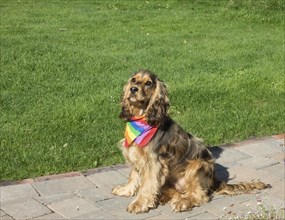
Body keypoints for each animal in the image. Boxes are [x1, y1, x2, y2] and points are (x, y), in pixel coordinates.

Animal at [110, 70, 268, 213]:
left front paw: (138, 204)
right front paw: (125, 190)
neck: (142, 119)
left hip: (199, 164)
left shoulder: (153, 162)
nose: (133, 89)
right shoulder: (136, 155)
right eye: (134, 80)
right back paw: (164, 197)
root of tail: (214, 182)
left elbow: (147, 185)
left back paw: (183, 202)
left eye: (148, 83)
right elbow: (133, 176)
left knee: (198, 194)